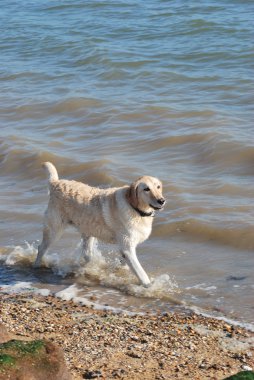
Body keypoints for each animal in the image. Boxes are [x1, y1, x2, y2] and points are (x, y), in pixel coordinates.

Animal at [33, 162, 165, 286]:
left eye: (158, 187)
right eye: (146, 189)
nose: (161, 200)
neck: (135, 208)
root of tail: (56, 183)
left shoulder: (127, 247)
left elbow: (125, 263)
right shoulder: (127, 248)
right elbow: (141, 272)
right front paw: (149, 286)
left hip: (88, 231)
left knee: (87, 254)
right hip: (54, 230)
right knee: (41, 248)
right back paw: (36, 267)